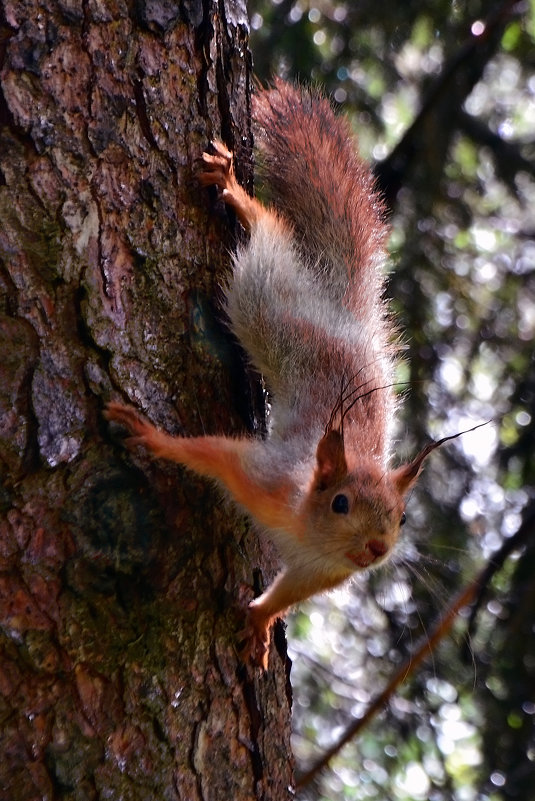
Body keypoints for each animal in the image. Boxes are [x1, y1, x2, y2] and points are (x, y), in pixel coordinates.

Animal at [107, 81, 458, 668]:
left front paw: (261, 620)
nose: (377, 550)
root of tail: (344, 318)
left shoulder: (323, 572)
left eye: (403, 517)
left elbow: (289, 591)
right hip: (269, 308)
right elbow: (213, 454)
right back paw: (237, 195)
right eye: (341, 503)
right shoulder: (264, 478)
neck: (310, 531)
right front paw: (152, 437)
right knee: (270, 239)